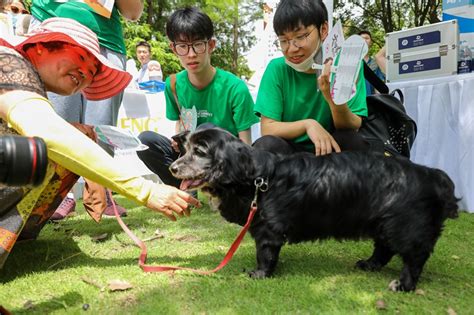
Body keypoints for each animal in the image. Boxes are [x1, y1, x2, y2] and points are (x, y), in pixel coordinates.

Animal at [169, 128, 460, 292]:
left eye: (200, 151)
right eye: (185, 148)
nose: (172, 168)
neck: (257, 178)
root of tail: (432, 175)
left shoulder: (268, 231)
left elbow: (265, 255)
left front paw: (260, 274)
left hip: (404, 227)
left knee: (414, 258)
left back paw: (404, 285)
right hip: (382, 223)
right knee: (384, 249)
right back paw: (370, 264)